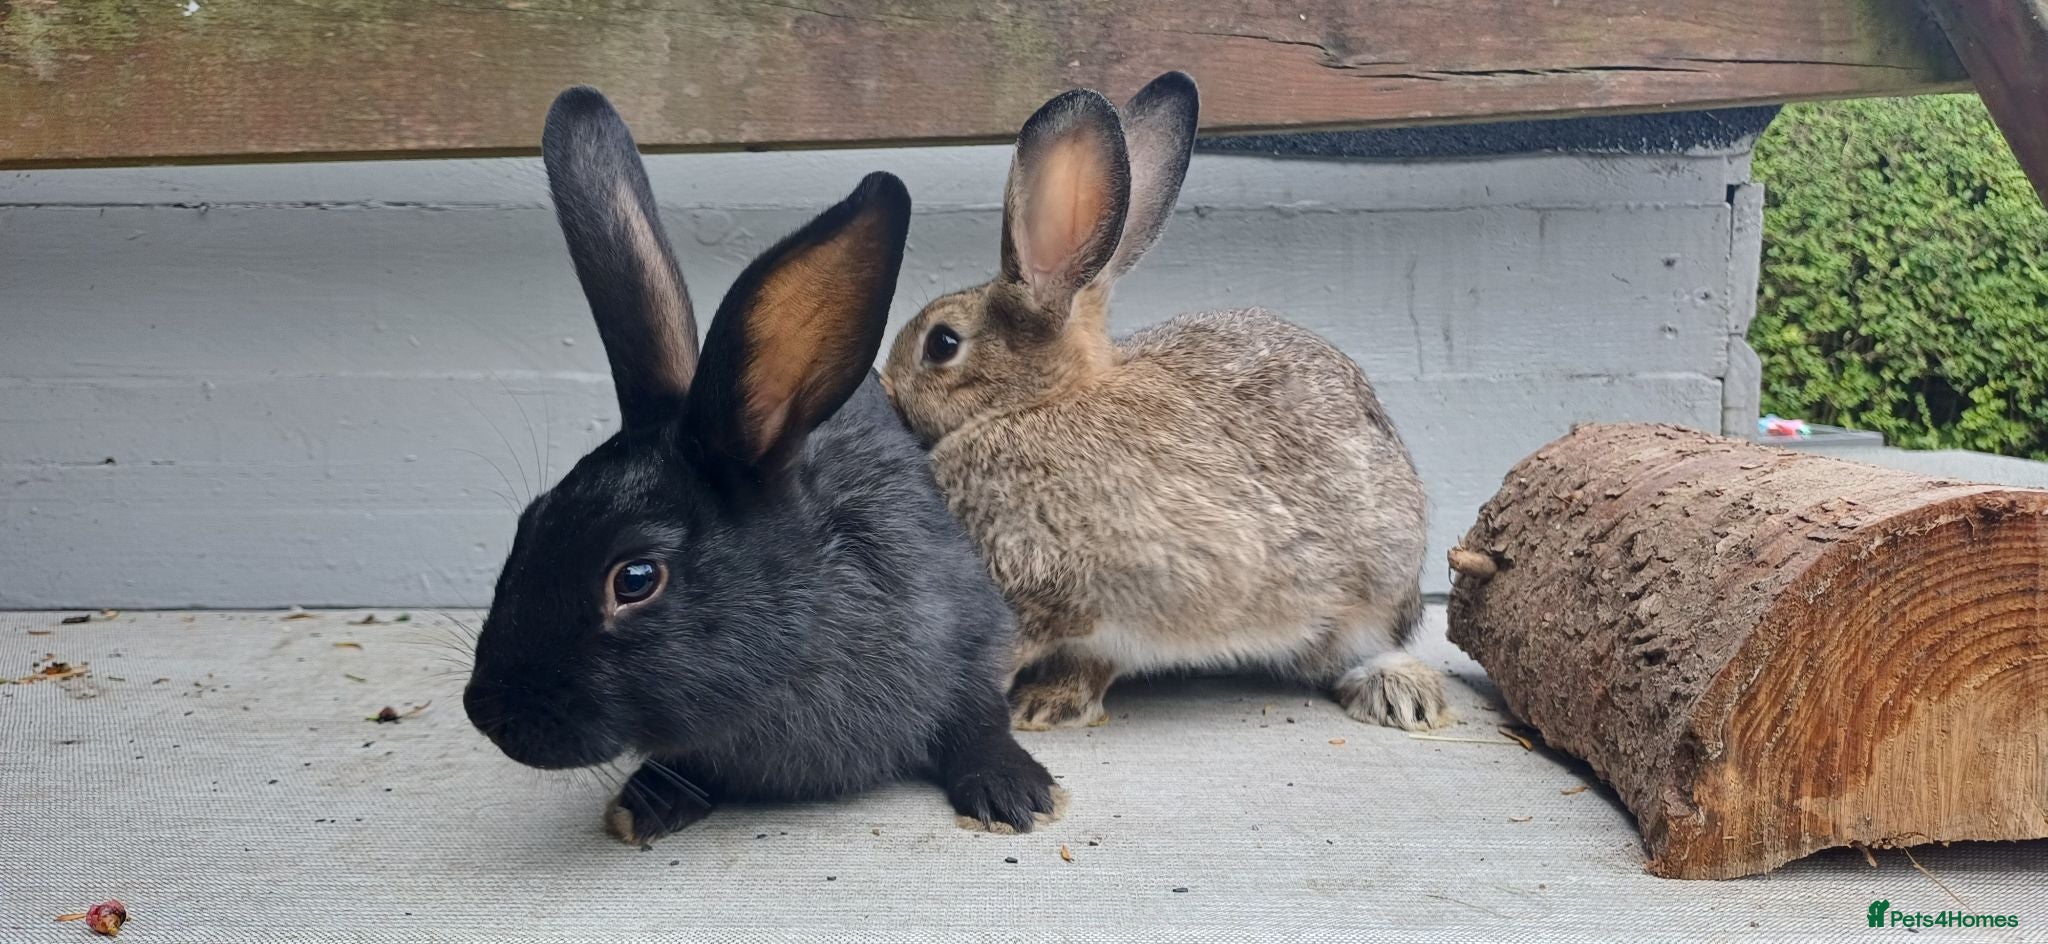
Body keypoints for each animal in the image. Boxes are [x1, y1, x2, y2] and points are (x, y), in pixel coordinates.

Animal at [462, 87, 1063, 846]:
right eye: (529, 523)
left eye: (635, 578)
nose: (484, 710)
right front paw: (645, 802)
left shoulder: (969, 636)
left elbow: (978, 714)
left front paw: (1014, 791)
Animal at [880, 73, 1451, 732]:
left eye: (942, 343)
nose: (886, 390)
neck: (1036, 403)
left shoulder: (1107, 588)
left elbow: (1045, 641)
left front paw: (1026, 705)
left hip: (1371, 588)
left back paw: (1399, 692)